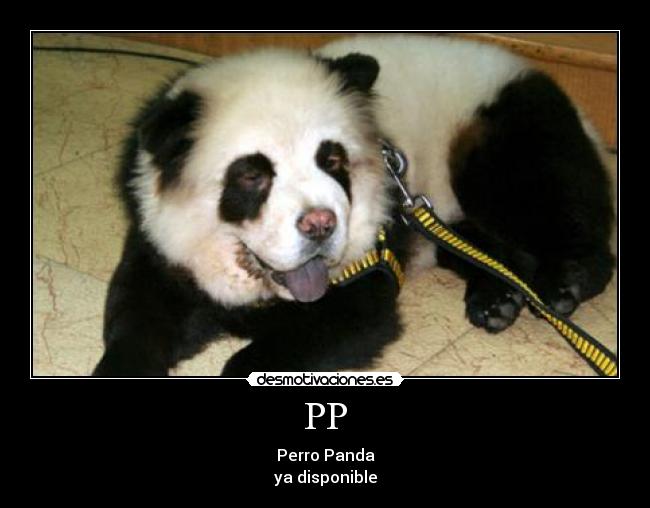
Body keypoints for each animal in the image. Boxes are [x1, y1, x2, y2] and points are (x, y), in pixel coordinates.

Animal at [93, 34, 614, 377]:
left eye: (332, 160)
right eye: (252, 175)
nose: (320, 225)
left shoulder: (366, 261)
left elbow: (340, 325)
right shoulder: (162, 241)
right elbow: (138, 314)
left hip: (499, 134)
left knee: (551, 206)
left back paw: (562, 286)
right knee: (475, 241)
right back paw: (497, 298)